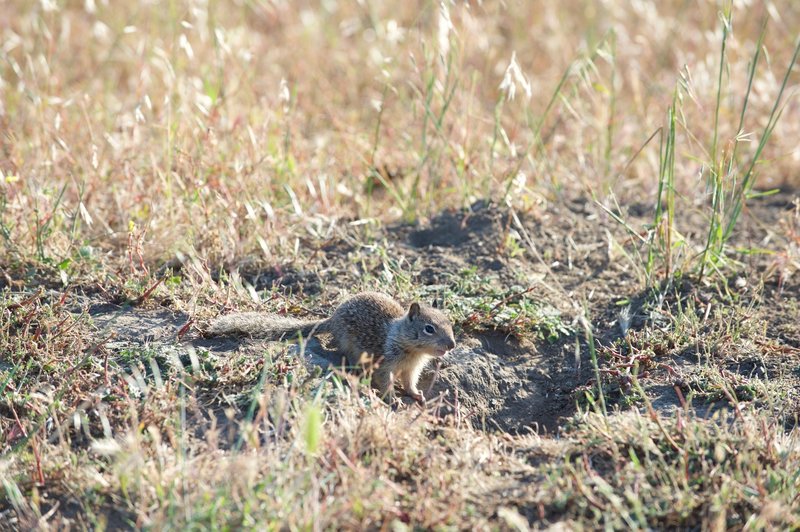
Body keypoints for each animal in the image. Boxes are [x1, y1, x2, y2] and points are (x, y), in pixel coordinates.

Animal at [206, 294, 456, 402]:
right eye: (429, 329)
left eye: (449, 323)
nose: (452, 344)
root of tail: (332, 318)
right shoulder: (385, 364)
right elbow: (385, 381)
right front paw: (392, 398)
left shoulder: (412, 369)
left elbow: (410, 382)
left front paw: (416, 394)